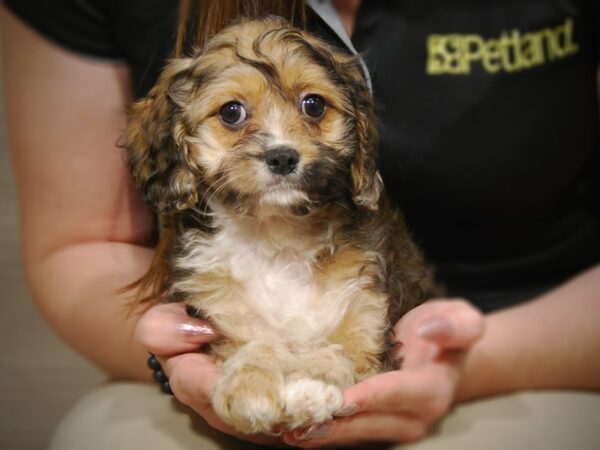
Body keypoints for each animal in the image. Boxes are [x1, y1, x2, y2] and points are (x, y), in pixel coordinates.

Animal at [125, 17, 426, 436]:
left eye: (314, 105)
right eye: (231, 112)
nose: (283, 156)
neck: (276, 233)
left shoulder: (368, 315)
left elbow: (342, 349)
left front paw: (312, 385)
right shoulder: (221, 316)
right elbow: (255, 342)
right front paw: (249, 384)